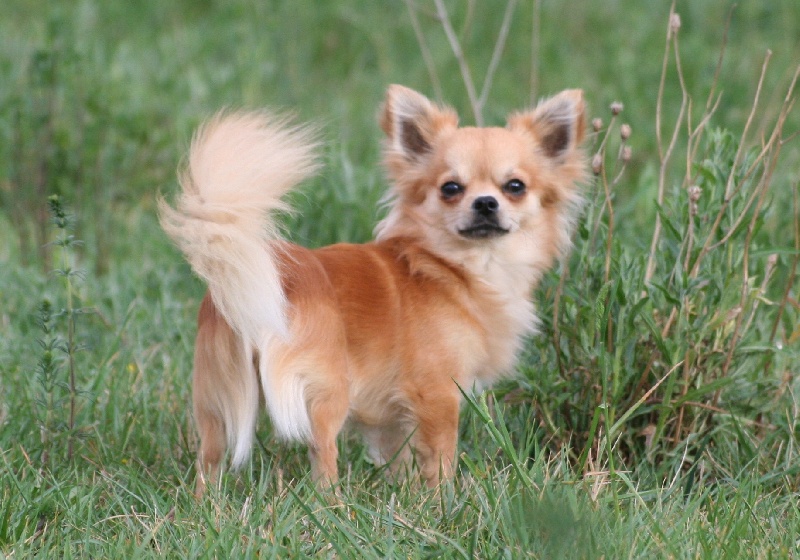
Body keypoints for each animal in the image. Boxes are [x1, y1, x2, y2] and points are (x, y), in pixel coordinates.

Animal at [159, 85, 587, 494]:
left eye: (515, 186)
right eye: (451, 188)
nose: (485, 203)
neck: (455, 267)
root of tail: (273, 279)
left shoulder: (393, 417)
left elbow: (402, 459)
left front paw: (406, 498)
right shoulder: (438, 395)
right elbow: (440, 456)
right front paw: (444, 502)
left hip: (217, 401)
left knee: (209, 458)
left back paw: (207, 506)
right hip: (326, 391)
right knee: (322, 452)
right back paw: (332, 506)